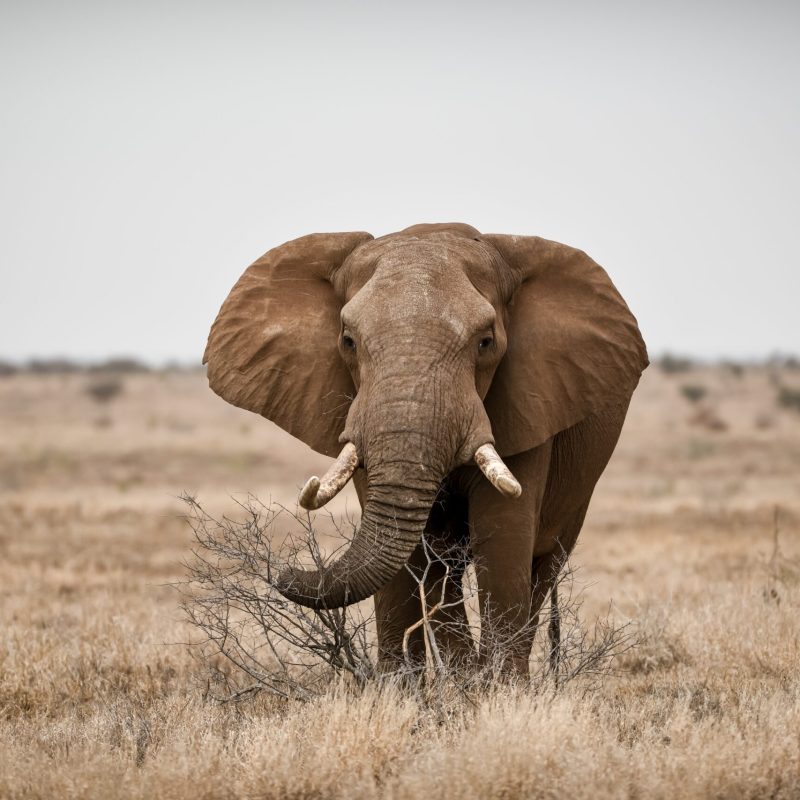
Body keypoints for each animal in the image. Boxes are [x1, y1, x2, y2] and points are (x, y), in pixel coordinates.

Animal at [204, 223, 648, 676]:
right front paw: (407, 690)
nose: (281, 570)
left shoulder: (529, 404)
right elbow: (414, 553)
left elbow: (503, 534)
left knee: (544, 565)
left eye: (486, 342)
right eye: (347, 341)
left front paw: (497, 690)